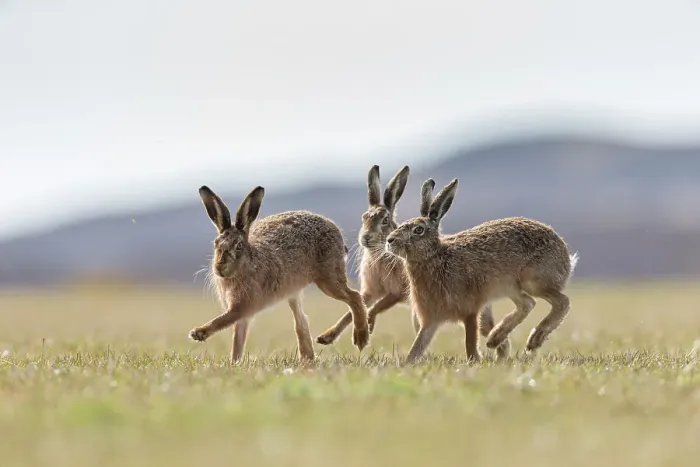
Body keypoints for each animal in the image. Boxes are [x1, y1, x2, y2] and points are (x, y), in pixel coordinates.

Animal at [188, 185, 370, 363]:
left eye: (239, 246)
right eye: (215, 244)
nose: (219, 267)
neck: (248, 262)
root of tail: (336, 231)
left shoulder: (242, 307)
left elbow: (222, 321)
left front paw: (198, 333)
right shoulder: (242, 314)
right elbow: (237, 340)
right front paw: (234, 363)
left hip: (328, 278)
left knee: (354, 297)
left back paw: (361, 337)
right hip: (294, 291)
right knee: (302, 321)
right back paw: (307, 359)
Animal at [316, 166, 510, 361]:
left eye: (384, 220)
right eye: (364, 218)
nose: (365, 238)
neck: (379, 253)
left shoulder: (399, 292)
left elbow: (375, 307)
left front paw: (367, 327)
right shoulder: (371, 291)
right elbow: (352, 311)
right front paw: (326, 337)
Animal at [385, 178, 578, 364]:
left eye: (418, 230)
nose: (389, 240)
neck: (434, 256)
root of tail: (566, 255)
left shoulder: (470, 310)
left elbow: (470, 341)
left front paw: (474, 362)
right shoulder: (430, 320)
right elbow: (418, 344)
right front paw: (407, 364)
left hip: (532, 281)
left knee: (562, 302)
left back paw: (534, 339)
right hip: (509, 287)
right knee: (528, 303)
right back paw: (495, 338)